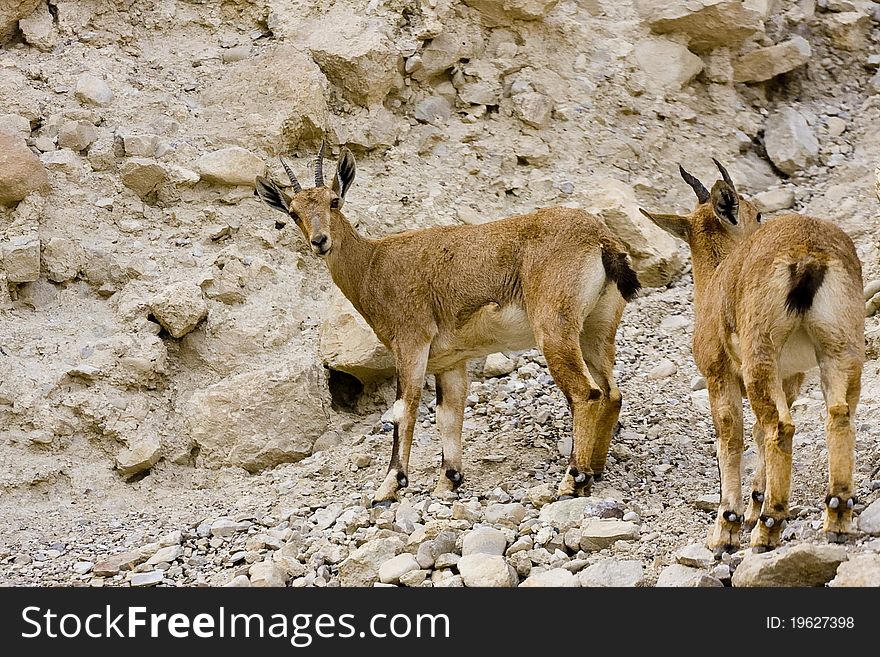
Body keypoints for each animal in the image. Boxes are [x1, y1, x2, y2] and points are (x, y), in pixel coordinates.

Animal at [254, 142, 640, 502]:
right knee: (611, 392)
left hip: (554, 326)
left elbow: (405, 409)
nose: (320, 241)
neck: (371, 265)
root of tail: (601, 240)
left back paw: (572, 479)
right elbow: (448, 414)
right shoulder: (449, 360)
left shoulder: (410, 341)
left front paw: (388, 487)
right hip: (596, 328)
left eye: (334, 201)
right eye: (294, 213)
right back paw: (594, 471)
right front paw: (448, 481)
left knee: (586, 392)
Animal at [644, 160, 864, 552]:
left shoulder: (719, 373)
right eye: (756, 213)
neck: (716, 279)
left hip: (760, 352)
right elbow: (757, 435)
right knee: (838, 415)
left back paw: (769, 527)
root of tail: (808, 251)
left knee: (780, 427)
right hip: (840, 347)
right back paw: (836, 518)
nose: (759, 220)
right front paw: (751, 507)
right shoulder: (790, 377)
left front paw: (726, 526)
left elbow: (730, 439)